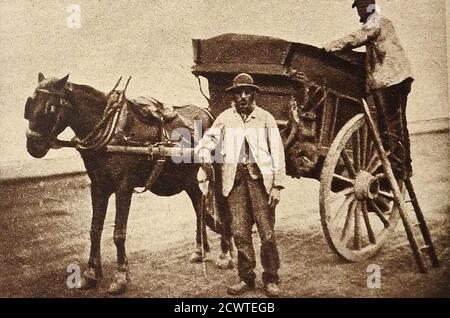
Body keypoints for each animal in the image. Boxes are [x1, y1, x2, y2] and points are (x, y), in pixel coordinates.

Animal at [23, 73, 232, 294]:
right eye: (30, 103)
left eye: (51, 107)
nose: (32, 145)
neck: (111, 131)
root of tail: (209, 113)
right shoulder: (98, 187)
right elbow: (94, 230)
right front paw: (91, 273)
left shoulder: (124, 188)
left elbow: (118, 233)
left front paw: (121, 276)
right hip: (186, 177)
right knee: (199, 202)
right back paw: (200, 249)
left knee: (221, 207)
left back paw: (225, 253)